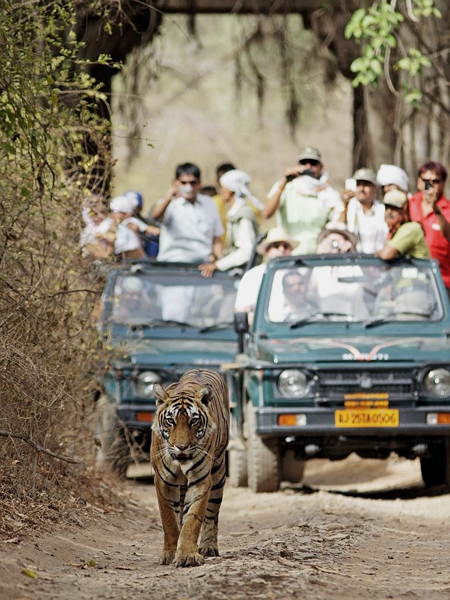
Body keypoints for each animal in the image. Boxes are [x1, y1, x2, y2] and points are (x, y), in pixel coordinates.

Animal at [150, 368, 229, 568]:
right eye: (170, 421)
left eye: (194, 421)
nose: (182, 447)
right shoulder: (163, 482)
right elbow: (169, 520)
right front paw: (169, 553)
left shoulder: (201, 480)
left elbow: (193, 519)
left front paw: (187, 555)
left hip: (218, 474)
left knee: (212, 514)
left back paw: (208, 547)